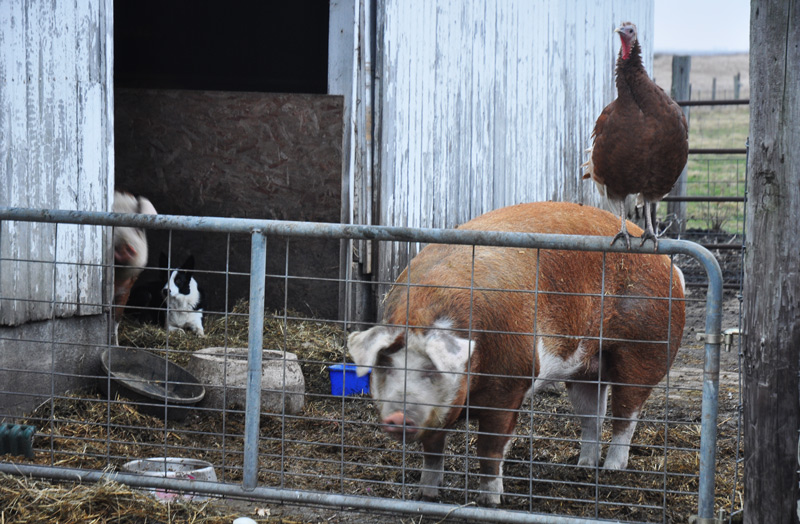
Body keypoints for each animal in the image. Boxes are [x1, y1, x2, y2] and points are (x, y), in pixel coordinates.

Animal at [347, 201, 685, 507]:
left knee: (626, 415)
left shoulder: (508, 387)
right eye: (385, 366)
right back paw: (583, 468)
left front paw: (491, 501)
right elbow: (432, 450)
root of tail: (670, 266)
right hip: (586, 366)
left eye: (430, 370)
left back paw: (612, 470)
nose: (397, 416)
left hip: (644, 349)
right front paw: (427, 495)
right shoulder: (439, 412)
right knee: (592, 416)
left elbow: (489, 449)